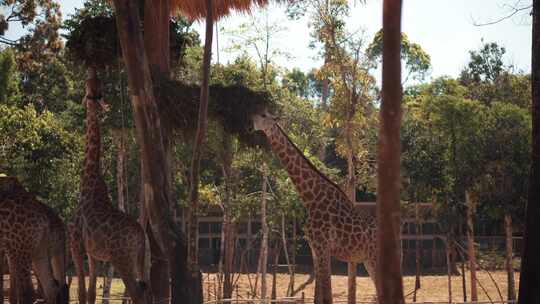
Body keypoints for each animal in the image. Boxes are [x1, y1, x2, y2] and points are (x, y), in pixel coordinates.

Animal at [69, 67, 152, 304]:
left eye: (87, 85)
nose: (91, 73)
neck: (89, 184)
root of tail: (141, 236)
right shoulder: (93, 253)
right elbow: (90, 294)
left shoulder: (76, 245)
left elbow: (81, 293)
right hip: (141, 260)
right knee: (147, 291)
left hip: (122, 259)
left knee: (137, 293)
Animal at [253, 112, 380, 304]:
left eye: (264, 115)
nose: (252, 121)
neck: (311, 198)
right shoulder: (315, 248)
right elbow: (318, 296)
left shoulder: (322, 246)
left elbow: (327, 296)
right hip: (367, 259)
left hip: (374, 258)